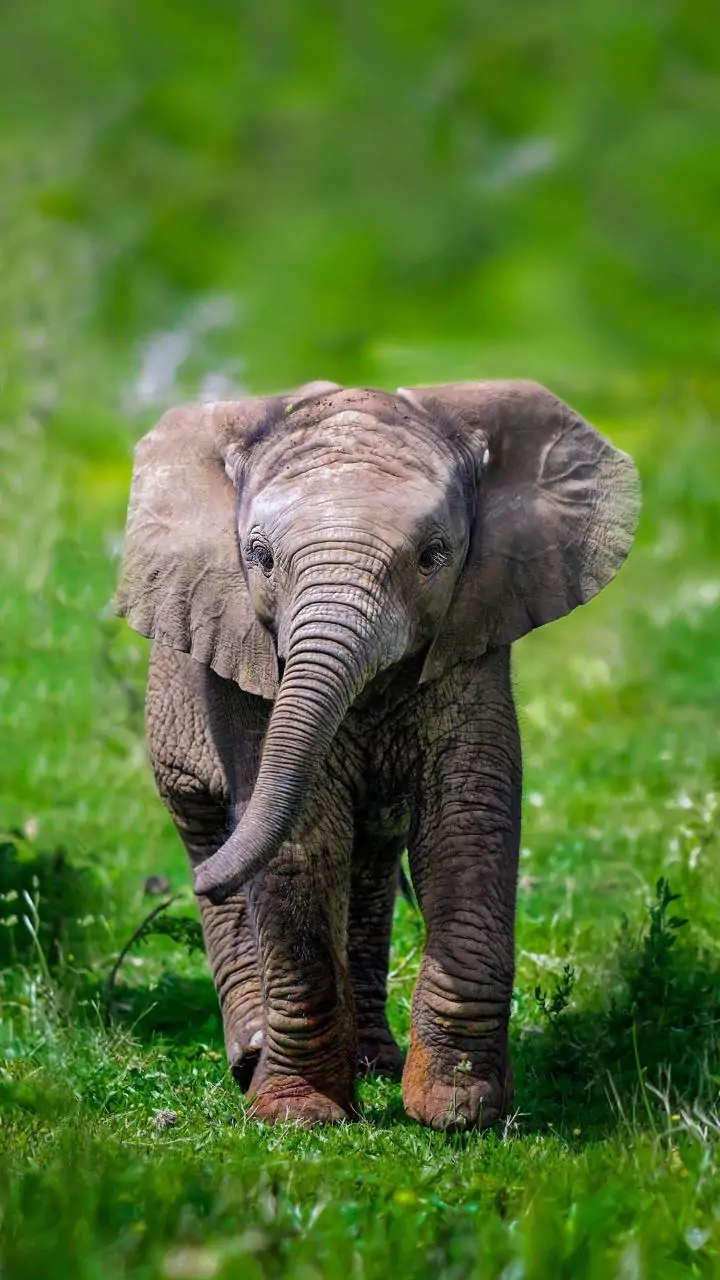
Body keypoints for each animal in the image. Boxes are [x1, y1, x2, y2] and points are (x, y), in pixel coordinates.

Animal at [116, 379, 639, 1129]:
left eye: (434, 555)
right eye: (259, 557)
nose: (195, 884)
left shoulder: (471, 638)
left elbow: (467, 819)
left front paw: (458, 1111)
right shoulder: (246, 665)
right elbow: (302, 838)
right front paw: (299, 1117)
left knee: (366, 861)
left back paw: (374, 1064)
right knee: (211, 824)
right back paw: (253, 1056)